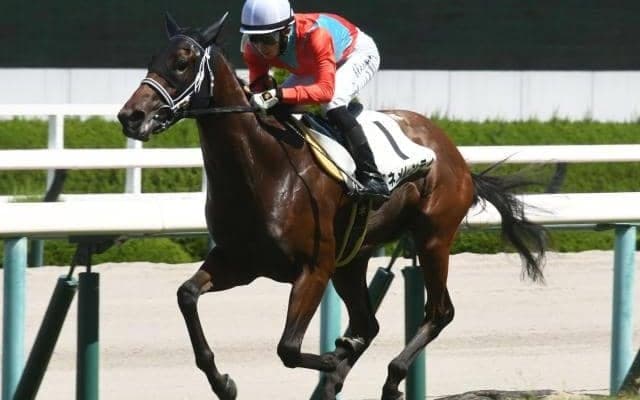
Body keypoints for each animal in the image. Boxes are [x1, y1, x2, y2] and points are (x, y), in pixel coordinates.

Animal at [118, 13, 548, 400]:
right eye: (153, 58)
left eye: (182, 62)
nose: (130, 116)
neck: (263, 168)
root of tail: (454, 155)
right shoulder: (239, 261)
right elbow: (187, 295)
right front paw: (223, 382)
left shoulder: (314, 268)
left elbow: (288, 348)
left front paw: (335, 355)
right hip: (352, 258)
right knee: (369, 323)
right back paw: (340, 378)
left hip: (433, 238)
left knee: (438, 312)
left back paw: (389, 378)